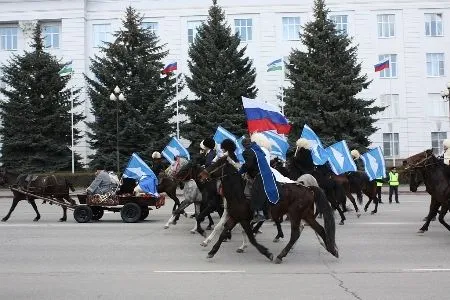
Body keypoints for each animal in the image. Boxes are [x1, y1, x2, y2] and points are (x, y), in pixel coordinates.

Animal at [198, 156, 338, 264]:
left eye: (216, 164)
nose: (200, 176)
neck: (239, 192)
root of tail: (308, 188)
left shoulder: (244, 219)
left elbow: (251, 237)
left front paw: (266, 253)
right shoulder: (234, 216)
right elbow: (223, 232)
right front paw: (211, 251)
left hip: (295, 215)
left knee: (296, 234)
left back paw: (281, 255)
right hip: (306, 214)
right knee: (320, 229)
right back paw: (331, 249)